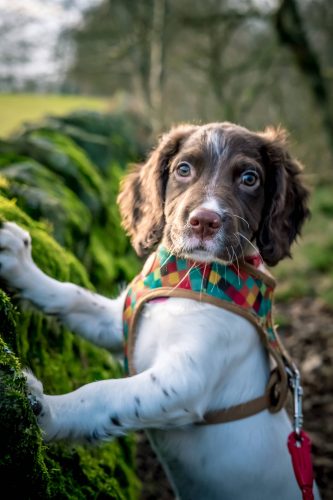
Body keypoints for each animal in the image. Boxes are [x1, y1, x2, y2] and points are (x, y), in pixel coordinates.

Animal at [0, 122, 320, 500]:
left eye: (249, 178)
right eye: (183, 169)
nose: (204, 222)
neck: (189, 276)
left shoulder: (187, 378)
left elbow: (102, 393)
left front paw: (45, 410)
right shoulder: (119, 326)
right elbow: (73, 296)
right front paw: (19, 265)